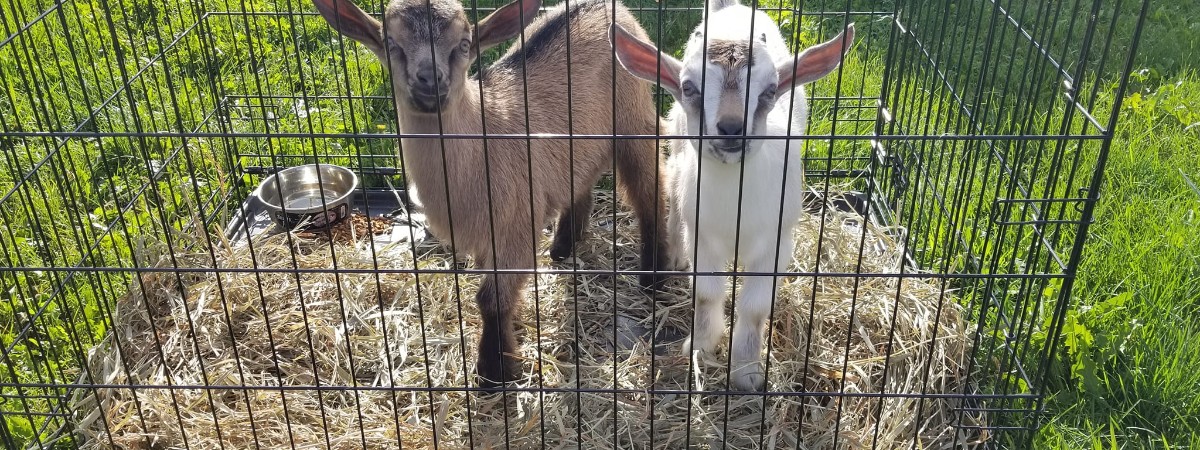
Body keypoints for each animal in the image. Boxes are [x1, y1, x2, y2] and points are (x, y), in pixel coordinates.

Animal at [312, 0, 668, 388]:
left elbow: (490, 299)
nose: (430, 80)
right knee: (580, 183)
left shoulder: (516, 224)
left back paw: (654, 276)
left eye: (464, 43)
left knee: (649, 193)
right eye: (392, 43)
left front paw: (495, 371)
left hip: (635, 122)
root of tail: (608, 7)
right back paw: (562, 246)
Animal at [611, 0, 854, 391]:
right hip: (678, 152)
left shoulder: (775, 242)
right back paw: (674, 256)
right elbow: (708, 293)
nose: (729, 128)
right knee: (673, 195)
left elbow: (754, 307)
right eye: (689, 87)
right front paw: (700, 348)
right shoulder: (703, 237)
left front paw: (747, 372)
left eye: (770, 90)